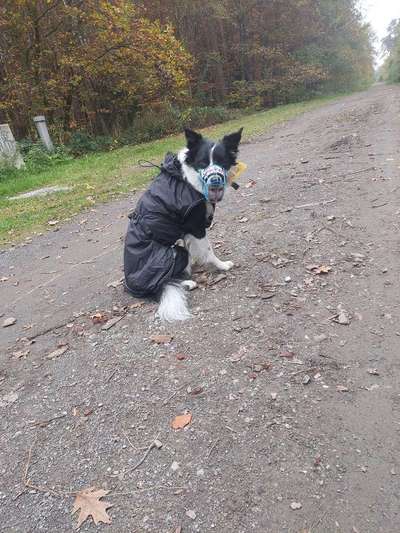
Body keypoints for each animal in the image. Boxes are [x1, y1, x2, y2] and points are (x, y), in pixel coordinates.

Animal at [123, 127, 242, 320]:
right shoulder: (196, 226)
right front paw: (222, 265)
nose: (215, 180)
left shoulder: (186, 230)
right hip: (175, 253)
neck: (186, 178)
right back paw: (187, 283)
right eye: (202, 163)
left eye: (221, 161)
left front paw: (194, 262)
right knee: (163, 282)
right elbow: (208, 250)